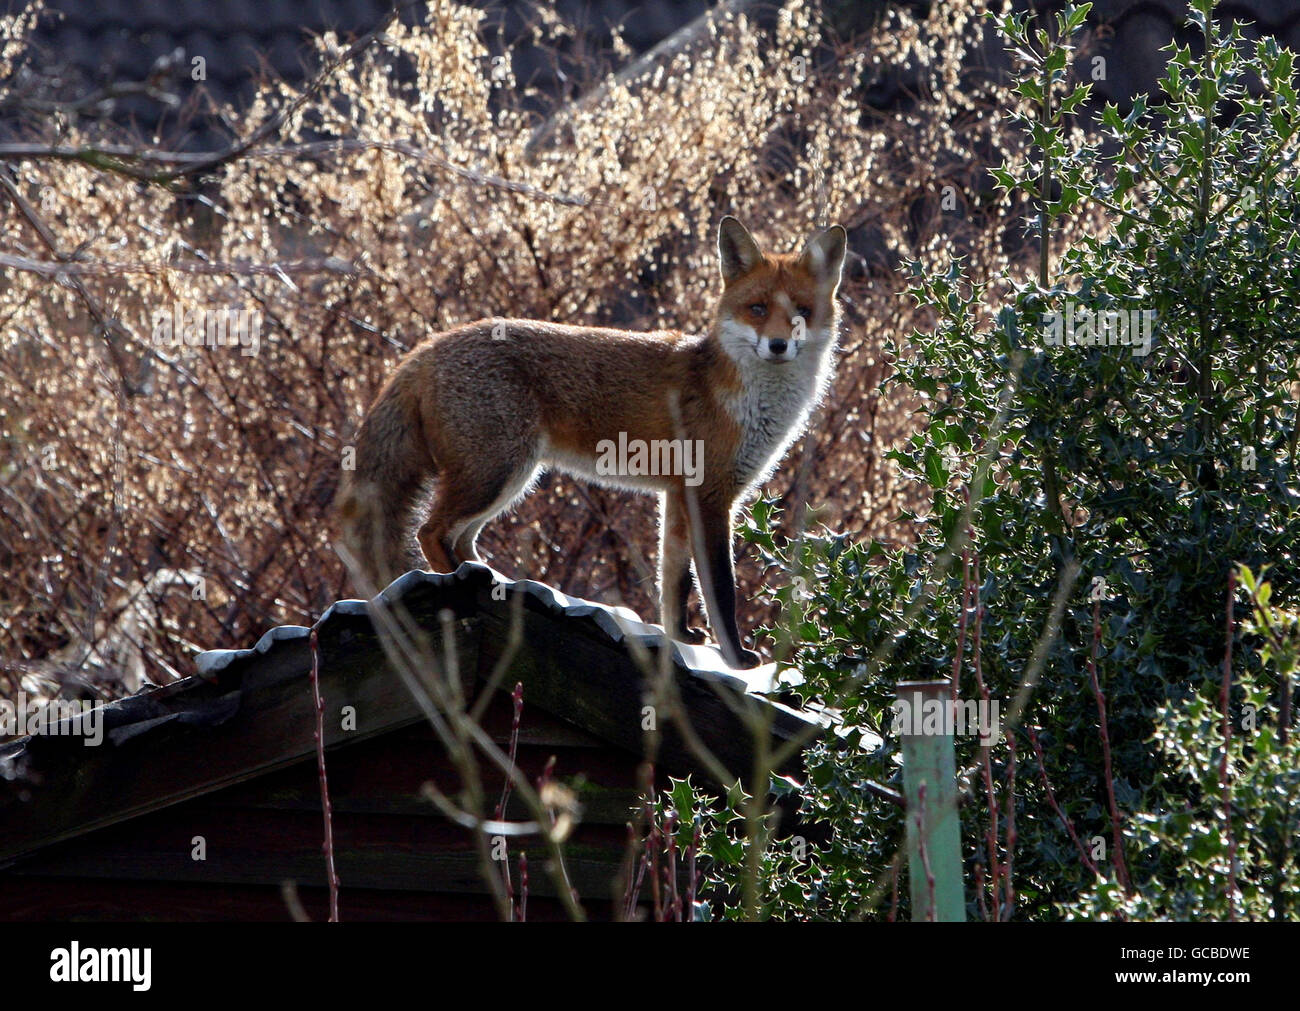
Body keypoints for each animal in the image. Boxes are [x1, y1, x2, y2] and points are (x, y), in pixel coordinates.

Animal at [335, 217, 847, 665]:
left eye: (802, 313)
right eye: (757, 309)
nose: (779, 345)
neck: (745, 399)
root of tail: (429, 346)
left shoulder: (678, 497)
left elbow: (674, 581)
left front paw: (679, 638)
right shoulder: (710, 496)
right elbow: (720, 588)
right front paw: (736, 658)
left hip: (505, 478)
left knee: (458, 537)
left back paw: (488, 579)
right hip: (498, 472)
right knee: (430, 531)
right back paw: (458, 584)